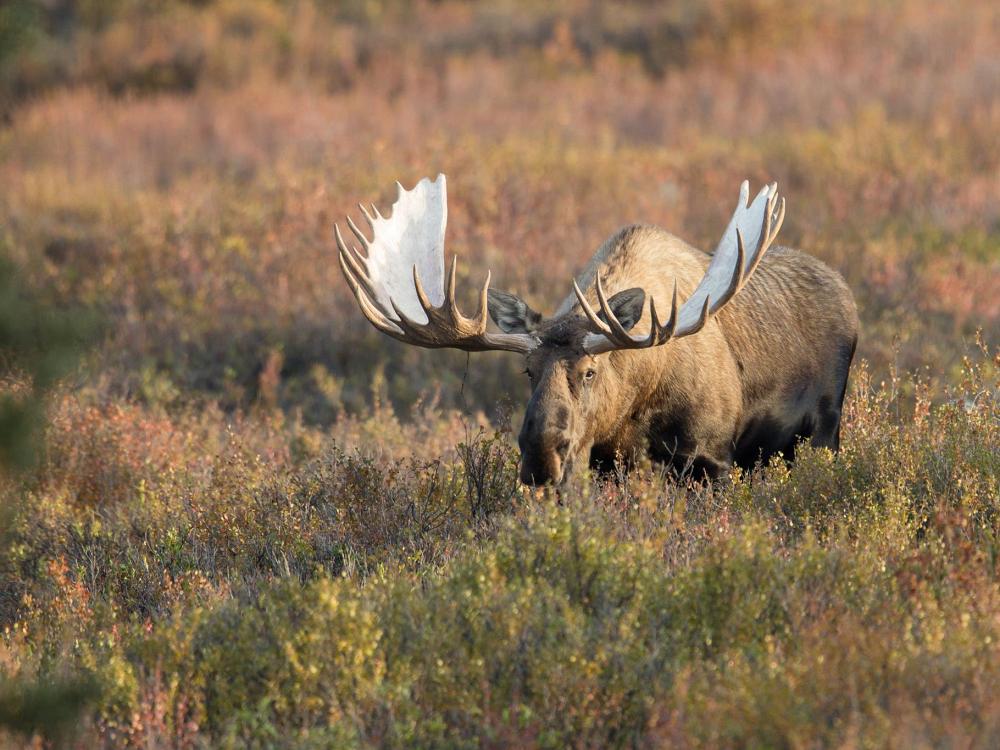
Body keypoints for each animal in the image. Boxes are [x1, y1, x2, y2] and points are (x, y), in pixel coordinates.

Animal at [336, 175, 860, 488]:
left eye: (589, 371)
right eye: (527, 371)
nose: (540, 456)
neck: (637, 404)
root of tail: (847, 294)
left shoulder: (711, 457)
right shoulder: (607, 463)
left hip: (824, 432)